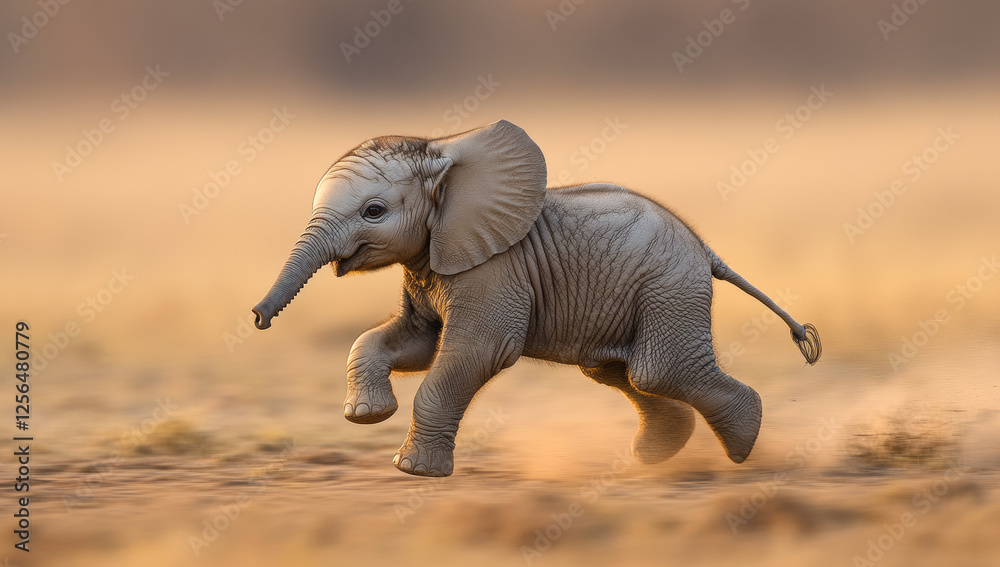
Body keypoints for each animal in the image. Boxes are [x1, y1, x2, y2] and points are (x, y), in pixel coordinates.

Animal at [252, 119, 821, 477]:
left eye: (373, 211)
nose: (257, 319)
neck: (444, 152)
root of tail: (705, 249)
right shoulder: (432, 261)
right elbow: (411, 344)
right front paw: (366, 416)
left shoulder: (494, 269)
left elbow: (476, 351)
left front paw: (413, 472)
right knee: (621, 373)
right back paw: (657, 460)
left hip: (670, 289)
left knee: (658, 371)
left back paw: (744, 447)